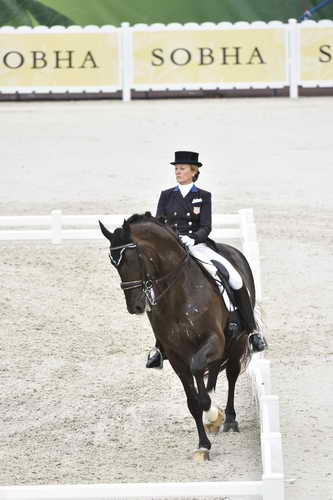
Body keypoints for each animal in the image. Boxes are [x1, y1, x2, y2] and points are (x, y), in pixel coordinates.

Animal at [98, 212, 254, 460]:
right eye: (113, 263)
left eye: (132, 258)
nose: (135, 307)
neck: (179, 294)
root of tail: (231, 250)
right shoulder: (176, 356)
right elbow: (193, 401)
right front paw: (203, 444)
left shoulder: (215, 341)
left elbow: (201, 378)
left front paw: (214, 415)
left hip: (236, 342)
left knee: (231, 374)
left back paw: (229, 418)